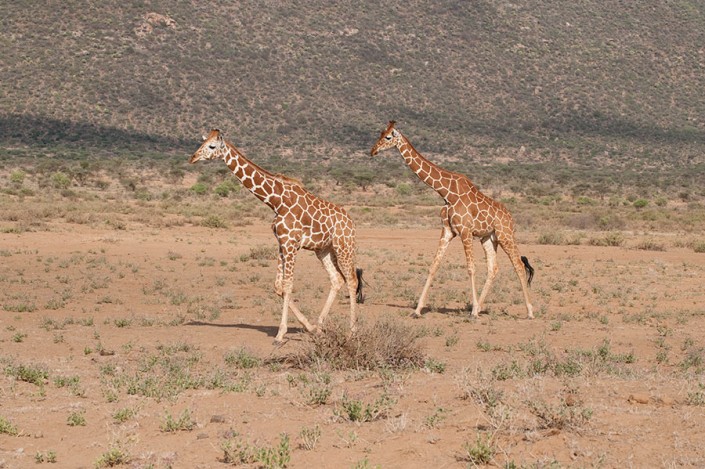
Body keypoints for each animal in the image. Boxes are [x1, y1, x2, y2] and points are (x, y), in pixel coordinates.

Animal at [190, 129, 363, 343]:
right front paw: (309, 327)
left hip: (344, 246)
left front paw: (281, 334)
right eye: (202, 142)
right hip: (323, 250)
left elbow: (287, 286)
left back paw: (352, 332)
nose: (192, 157)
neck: (275, 201)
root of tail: (351, 222)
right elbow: (278, 286)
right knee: (337, 279)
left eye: (212, 146)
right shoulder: (282, 243)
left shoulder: (291, 244)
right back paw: (320, 326)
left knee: (352, 280)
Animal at [370, 121, 534, 319]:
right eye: (379, 134)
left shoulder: (465, 231)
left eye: (388, 137)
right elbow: (433, 266)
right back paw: (481, 307)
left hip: (505, 235)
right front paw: (417, 310)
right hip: (488, 238)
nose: (373, 151)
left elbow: (471, 268)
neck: (447, 193)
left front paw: (472, 312)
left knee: (518, 265)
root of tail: (511, 218)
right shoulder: (447, 231)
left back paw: (529, 311)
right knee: (493, 269)